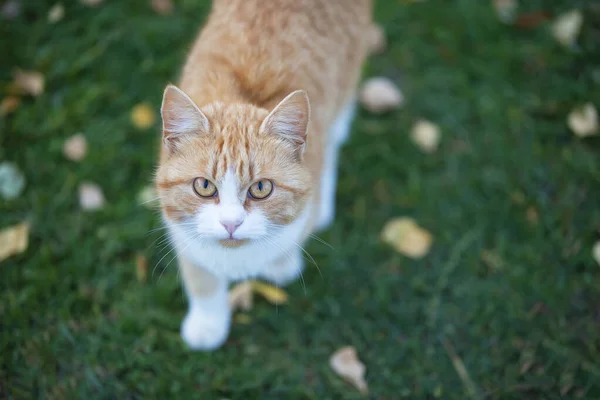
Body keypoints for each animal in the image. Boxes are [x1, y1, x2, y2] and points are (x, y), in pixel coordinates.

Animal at [156, 0, 370, 350]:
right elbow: (202, 279)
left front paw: (281, 264)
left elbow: (293, 233)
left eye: (260, 189)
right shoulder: (183, 233)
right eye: (204, 186)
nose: (231, 224)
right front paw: (208, 323)